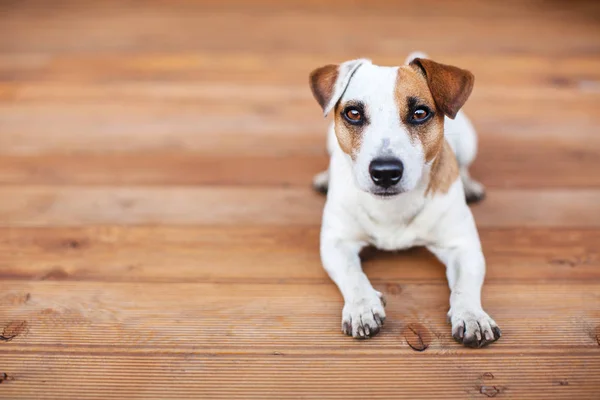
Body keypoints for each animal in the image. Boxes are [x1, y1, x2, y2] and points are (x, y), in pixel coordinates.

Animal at [310, 52, 502, 346]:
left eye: (420, 113)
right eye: (353, 114)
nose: (385, 172)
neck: (391, 208)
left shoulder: (463, 246)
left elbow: (465, 285)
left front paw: (472, 315)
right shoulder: (337, 243)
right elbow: (352, 274)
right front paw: (362, 307)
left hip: (469, 142)